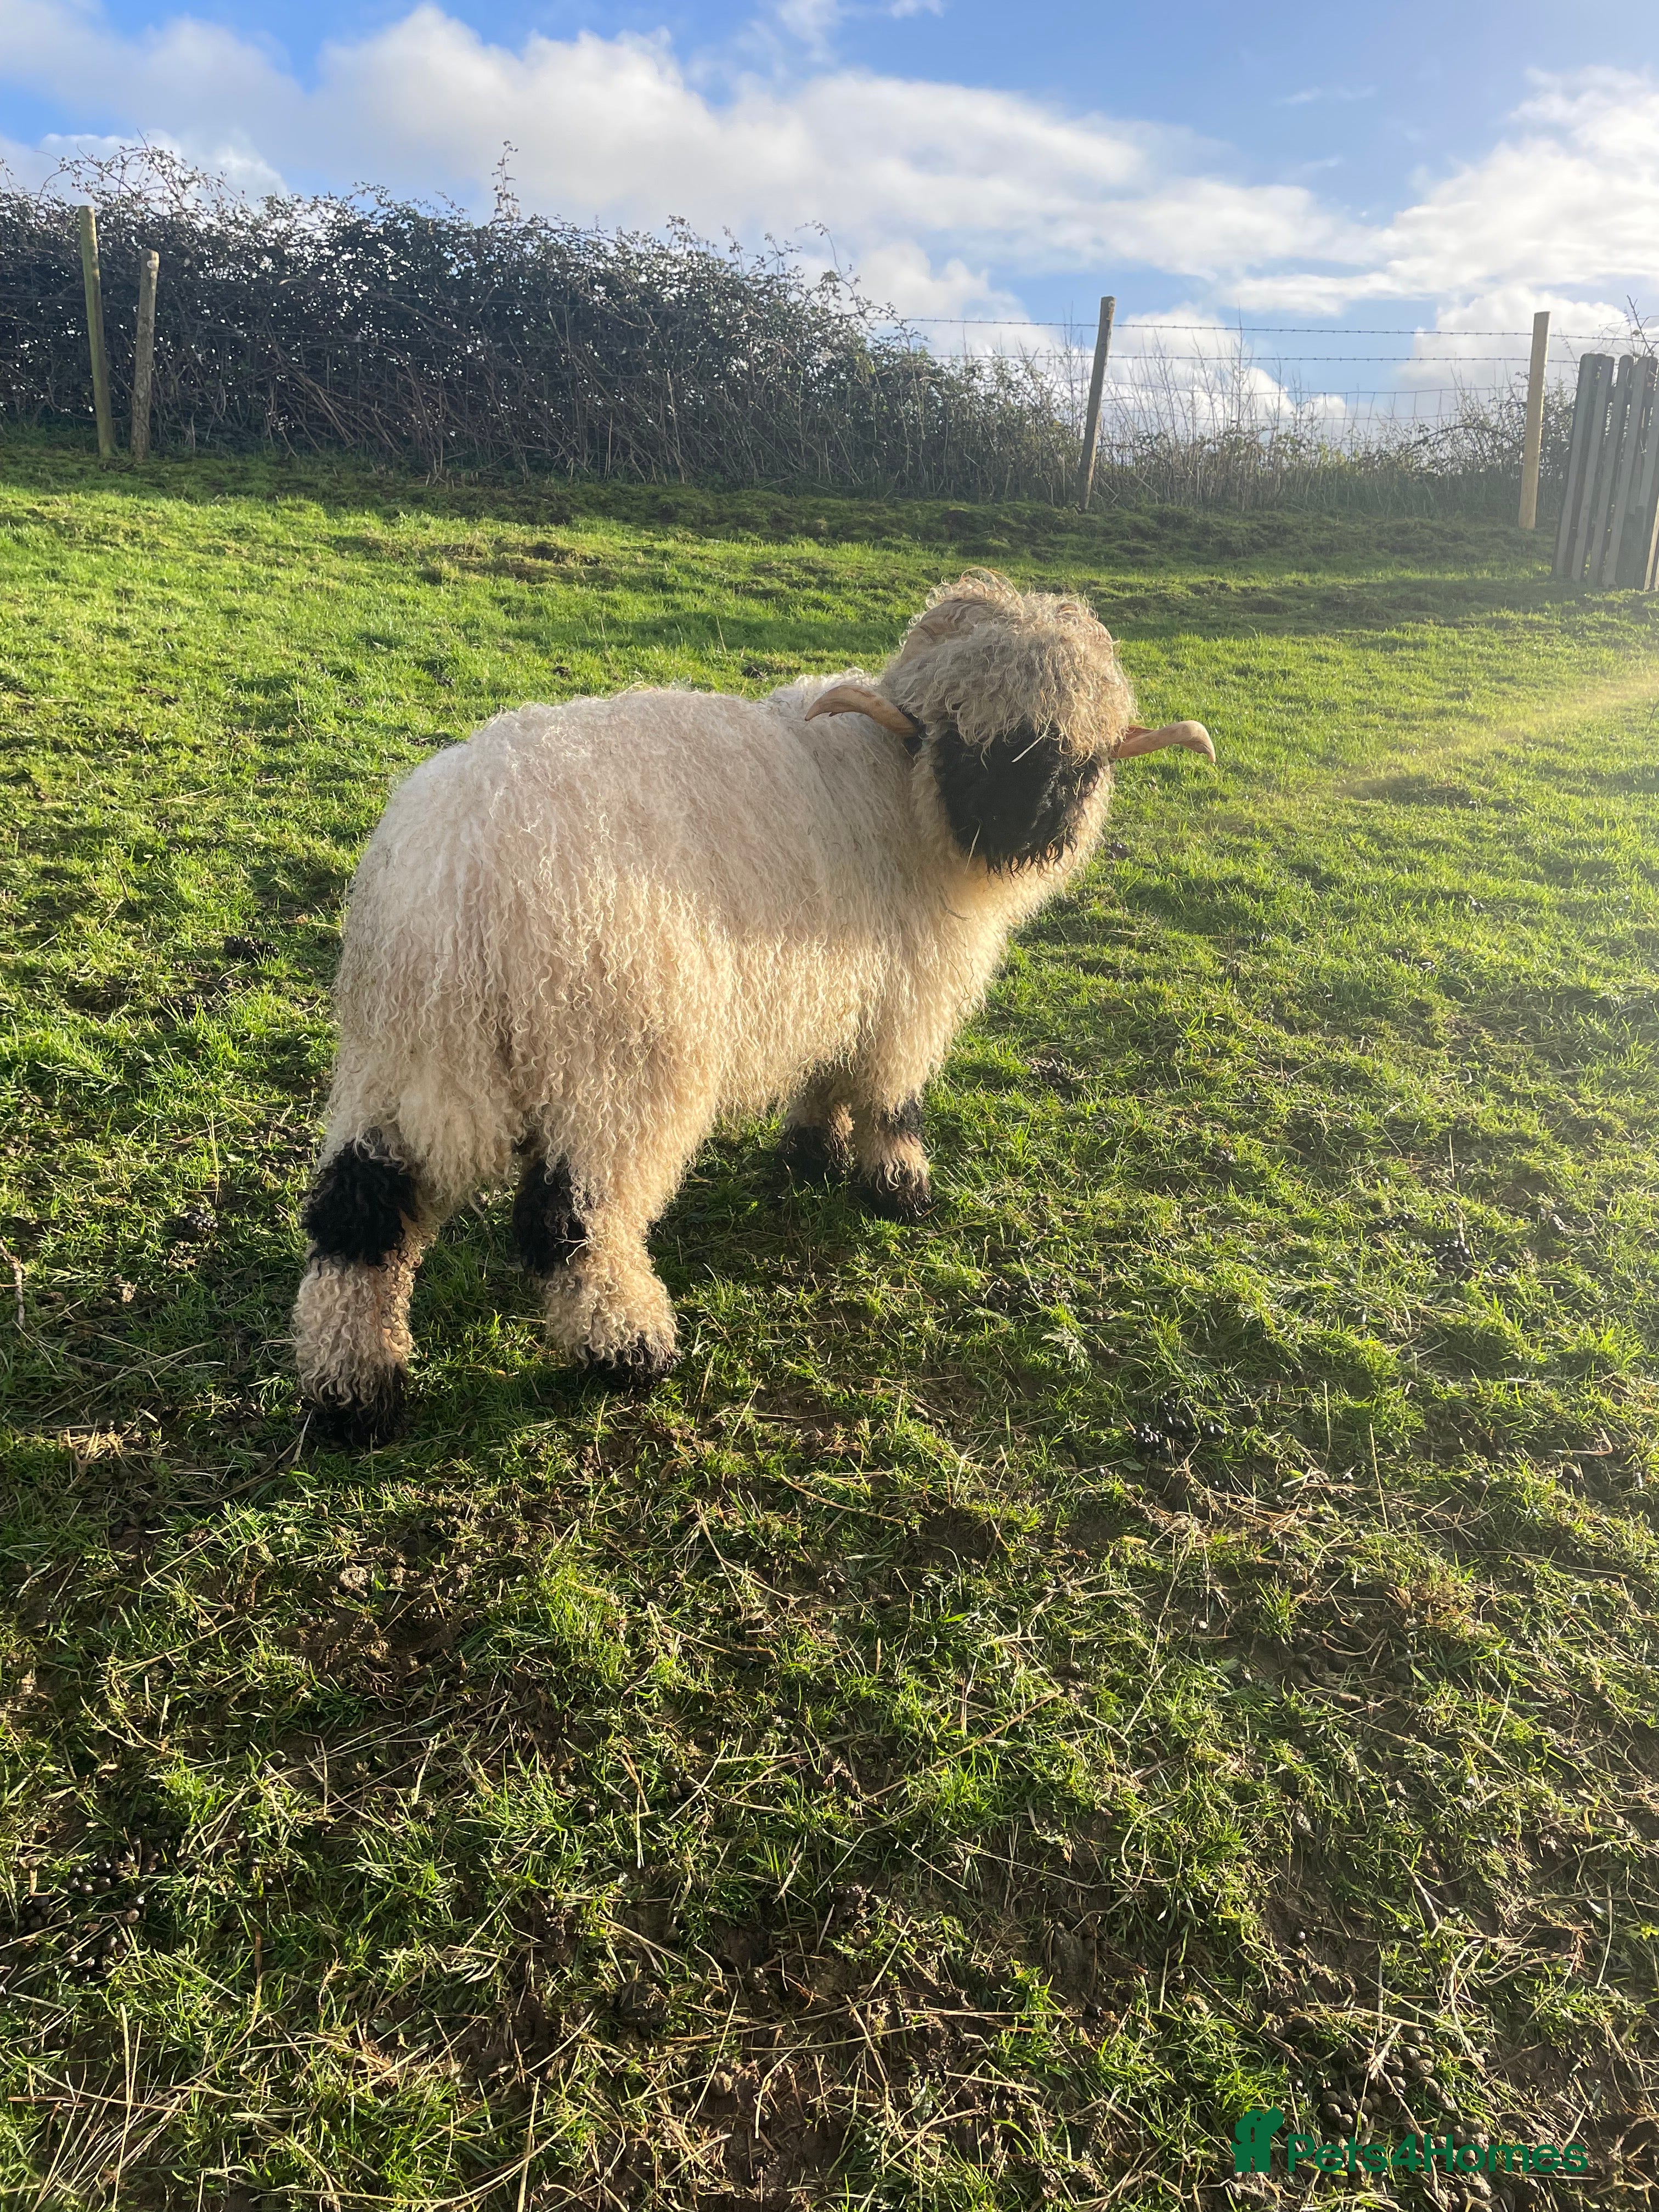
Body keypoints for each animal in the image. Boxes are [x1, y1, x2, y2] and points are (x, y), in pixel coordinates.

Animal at [292, 569, 1212, 1445]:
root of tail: (461, 866)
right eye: (960, 735)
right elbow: (893, 1098)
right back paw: (629, 1348)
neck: (903, 795)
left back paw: (355, 1396)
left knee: (360, 1216)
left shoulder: (839, 990)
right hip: (616, 1063)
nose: (1024, 825)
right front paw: (898, 1187)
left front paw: (813, 1150)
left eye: (1083, 757)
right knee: (572, 1222)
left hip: (407, 1059)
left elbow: (825, 1080)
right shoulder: (907, 1000)